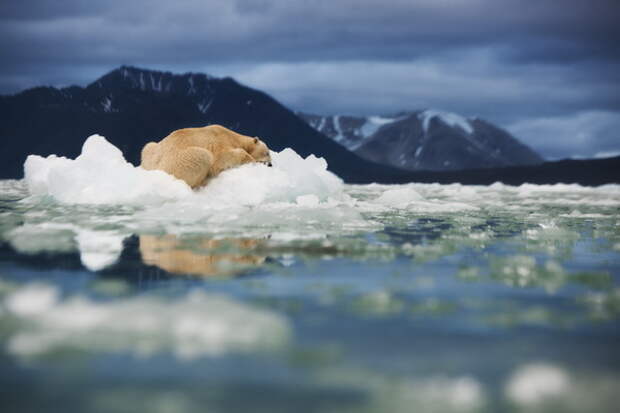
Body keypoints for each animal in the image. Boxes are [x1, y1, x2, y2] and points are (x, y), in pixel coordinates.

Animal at [143, 122, 274, 187]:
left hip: (150, 151)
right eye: (267, 153)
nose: (270, 165)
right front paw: (250, 159)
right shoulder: (220, 141)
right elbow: (221, 159)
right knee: (204, 156)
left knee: (148, 145)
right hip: (179, 161)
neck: (233, 137)